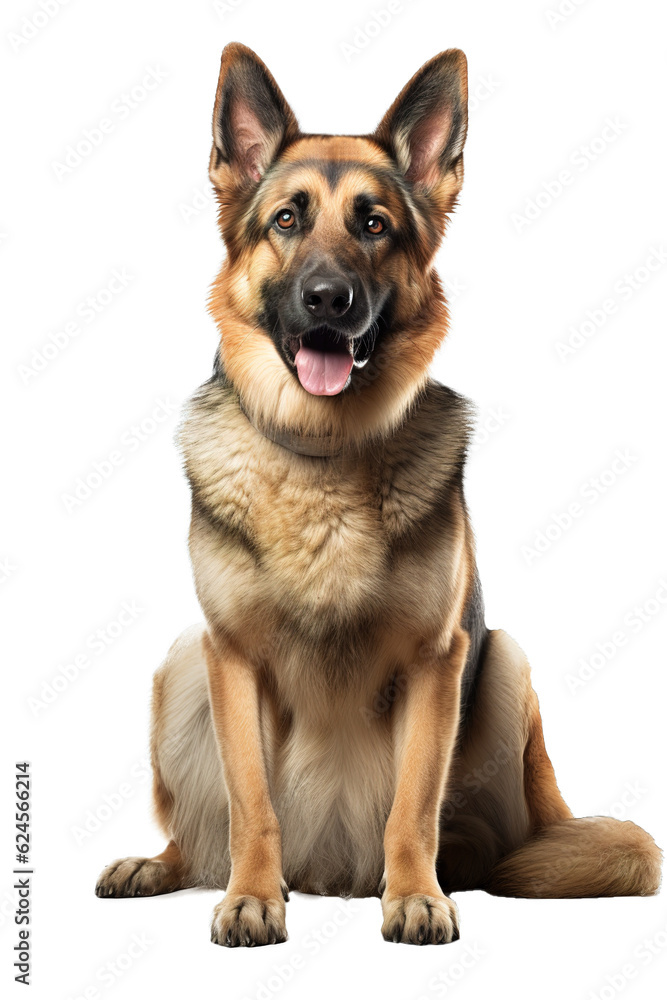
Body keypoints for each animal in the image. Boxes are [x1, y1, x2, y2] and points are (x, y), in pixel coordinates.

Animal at [95, 41, 664, 944]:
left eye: (374, 225)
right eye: (286, 221)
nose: (329, 300)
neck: (325, 455)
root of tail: (331, 877)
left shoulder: (437, 661)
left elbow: (412, 805)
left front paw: (417, 897)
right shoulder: (232, 659)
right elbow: (251, 804)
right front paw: (251, 896)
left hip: (504, 663)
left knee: (480, 841)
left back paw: (451, 875)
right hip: (185, 661)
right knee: (203, 833)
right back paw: (165, 868)